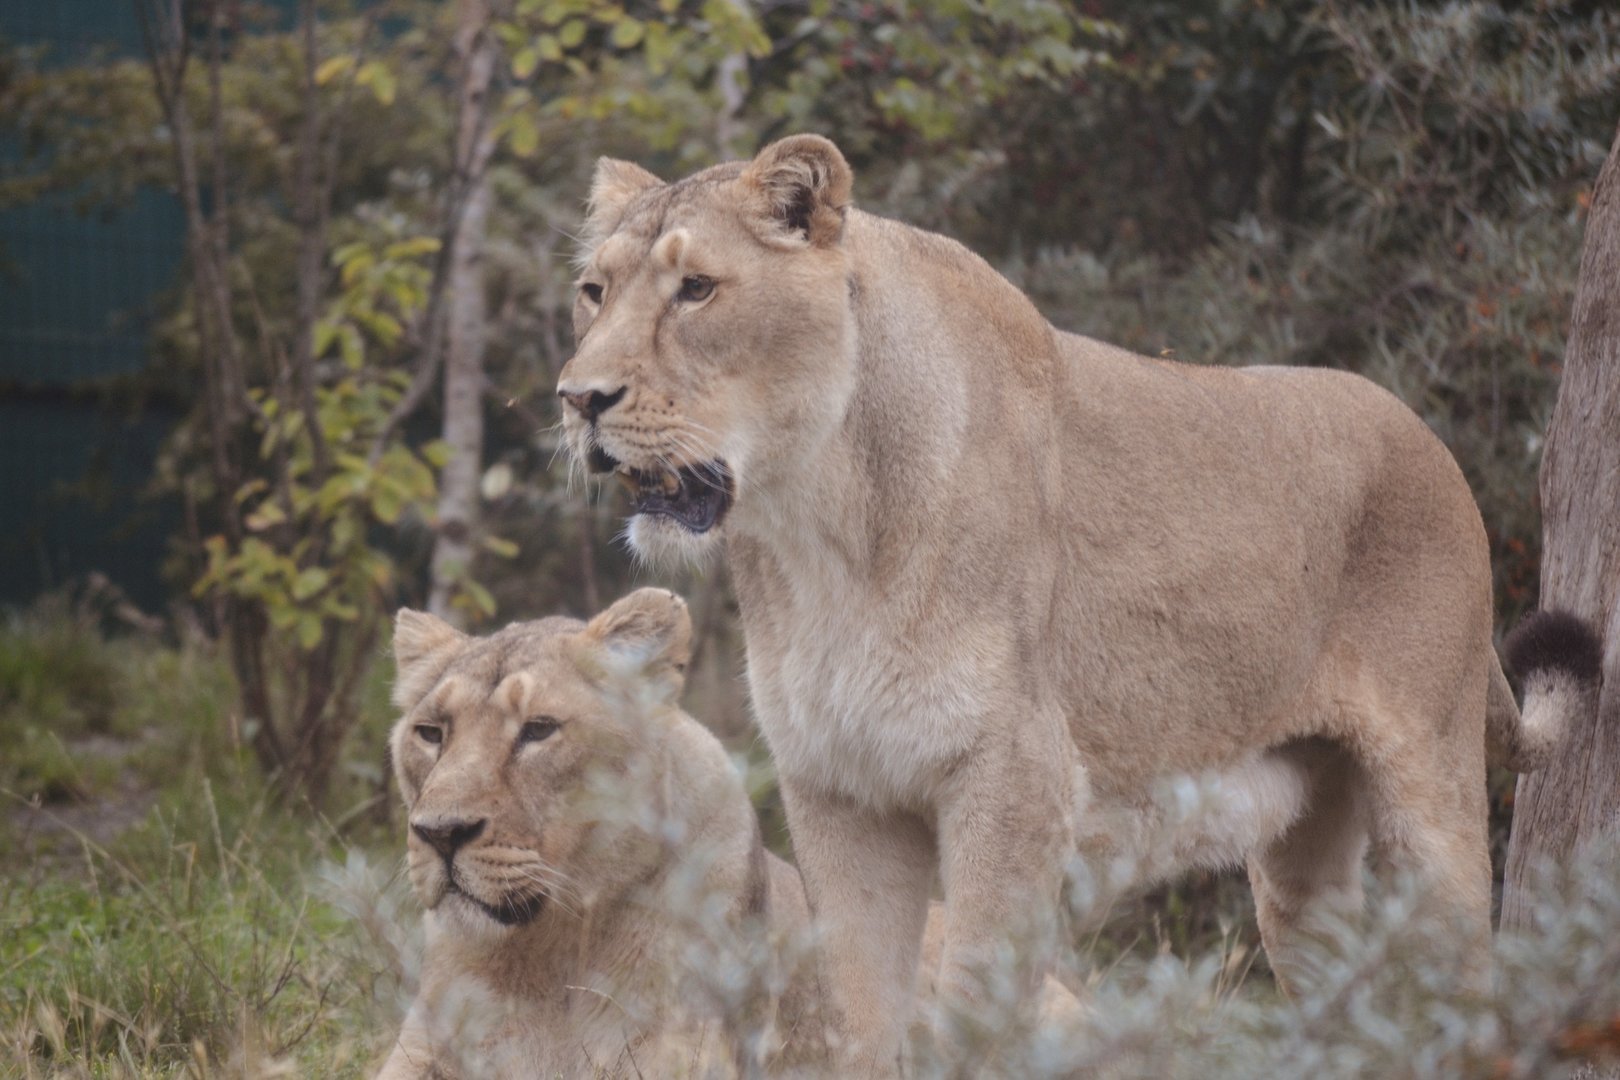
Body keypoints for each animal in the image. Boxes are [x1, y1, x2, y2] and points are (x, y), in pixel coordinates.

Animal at [554, 133, 1605, 1071]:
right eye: (593, 292)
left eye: (697, 289)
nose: (578, 399)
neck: (819, 528)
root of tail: (1433, 445)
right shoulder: (838, 789)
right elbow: (859, 1020)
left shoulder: (1014, 775)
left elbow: (972, 1013)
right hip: (1302, 854)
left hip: (1430, 784)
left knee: (1469, 979)